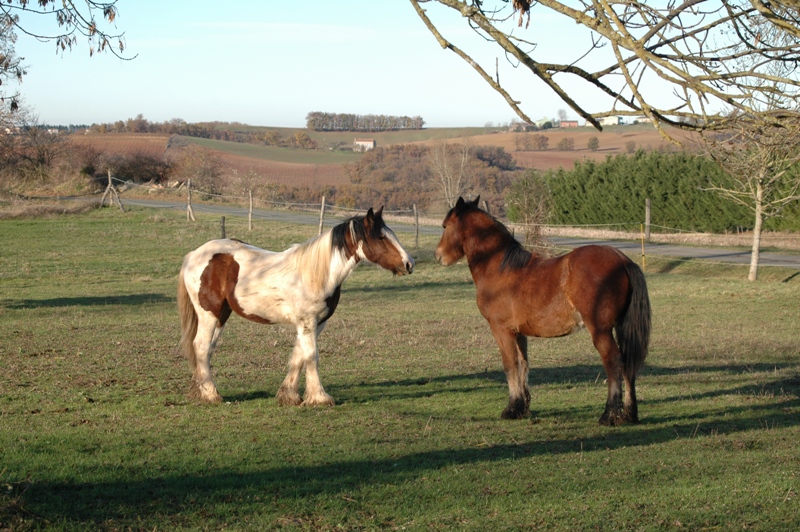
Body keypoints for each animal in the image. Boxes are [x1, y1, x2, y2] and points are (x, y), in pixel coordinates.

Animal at [175, 207, 412, 404]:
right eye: (381, 237)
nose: (409, 264)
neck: (316, 274)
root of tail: (193, 256)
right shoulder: (307, 322)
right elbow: (311, 356)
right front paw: (319, 398)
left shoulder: (316, 323)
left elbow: (299, 356)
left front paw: (289, 395)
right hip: (209, 314)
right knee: (201, 346)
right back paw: (211, 394)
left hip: (222, 315)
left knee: (208, 349)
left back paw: (201, 390)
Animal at [438, 197, 648, 426]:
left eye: (445, 226)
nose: (439, 255)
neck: (499, 267)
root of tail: (623, 261)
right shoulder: (518, 333)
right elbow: (523, 365)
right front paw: (521, 408)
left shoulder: (501, 330)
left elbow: (510, 366)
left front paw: (511, 409)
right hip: (620, 327)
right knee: (628, 364)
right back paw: (629, 413)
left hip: (600, 330)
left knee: (613, 361)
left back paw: (609, 414)